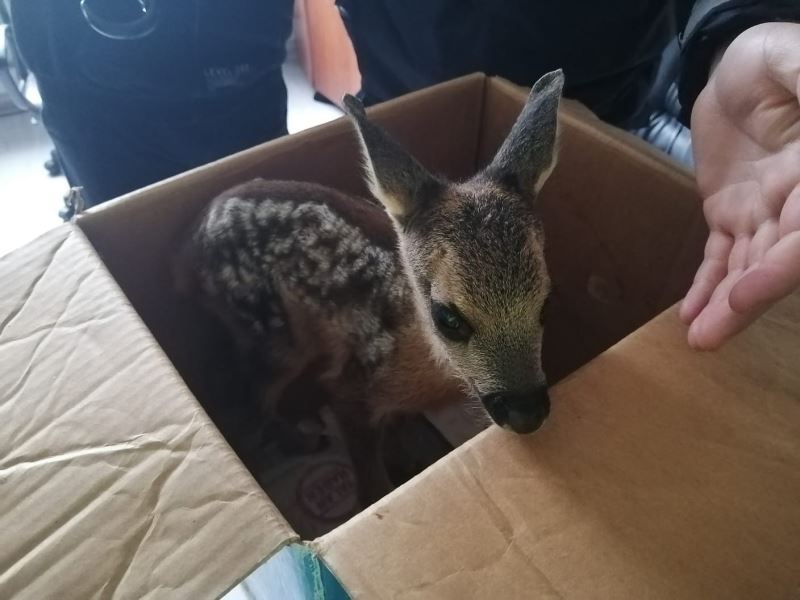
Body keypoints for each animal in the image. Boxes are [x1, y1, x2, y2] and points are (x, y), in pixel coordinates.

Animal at [175, 70, 564, 504]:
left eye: (546, 303)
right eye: (448, 318)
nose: (527, 413)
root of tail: (189, 247)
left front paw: (406, 458)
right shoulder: (350, 388)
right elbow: (371, 480)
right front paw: (379, 488)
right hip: (269, 330)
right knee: (255, 394)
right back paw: (301, 440)